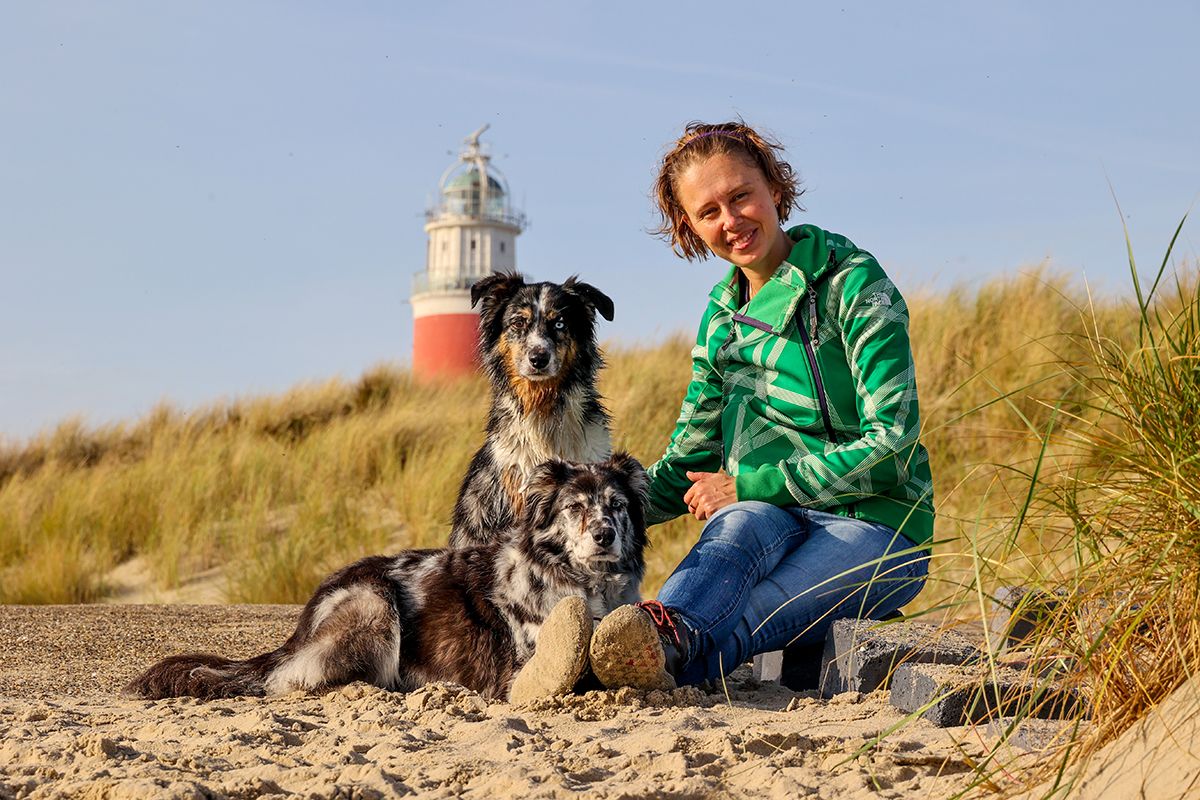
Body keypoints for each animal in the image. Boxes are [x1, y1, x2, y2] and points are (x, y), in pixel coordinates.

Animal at [121, 453, 648, 705]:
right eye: (574, 507)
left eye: (617, 505)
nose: (603, 534)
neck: (584, 583)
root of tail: (305, 621)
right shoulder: (522, 671)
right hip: (374, 606)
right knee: (294, 680)